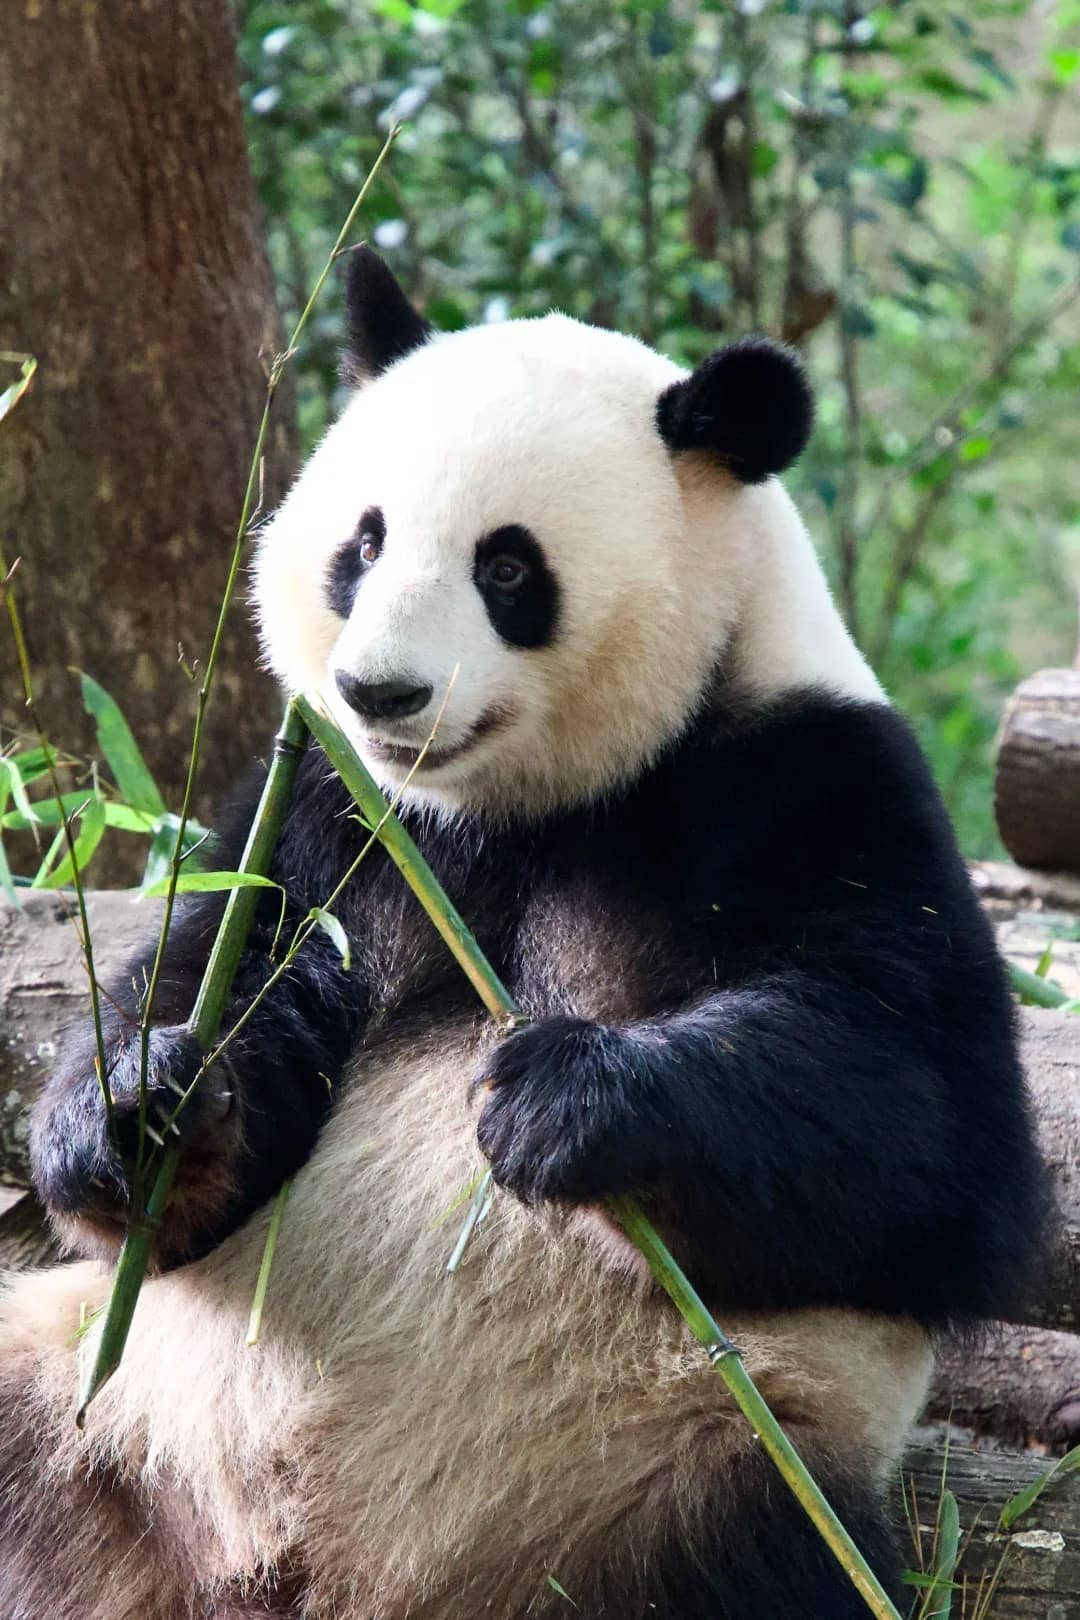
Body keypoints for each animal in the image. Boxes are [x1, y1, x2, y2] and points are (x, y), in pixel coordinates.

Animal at [0, 247, 1044, 1620]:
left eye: (508, 569)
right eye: (364, 542)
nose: (380, 691)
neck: (510, 809)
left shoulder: (810, 781)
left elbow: (934, 1135)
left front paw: (564, 1097)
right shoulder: (331, 811)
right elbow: (214, 977)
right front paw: (145, 1107)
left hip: (678, 1493)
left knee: (772, 1558)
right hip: (100, 1423)